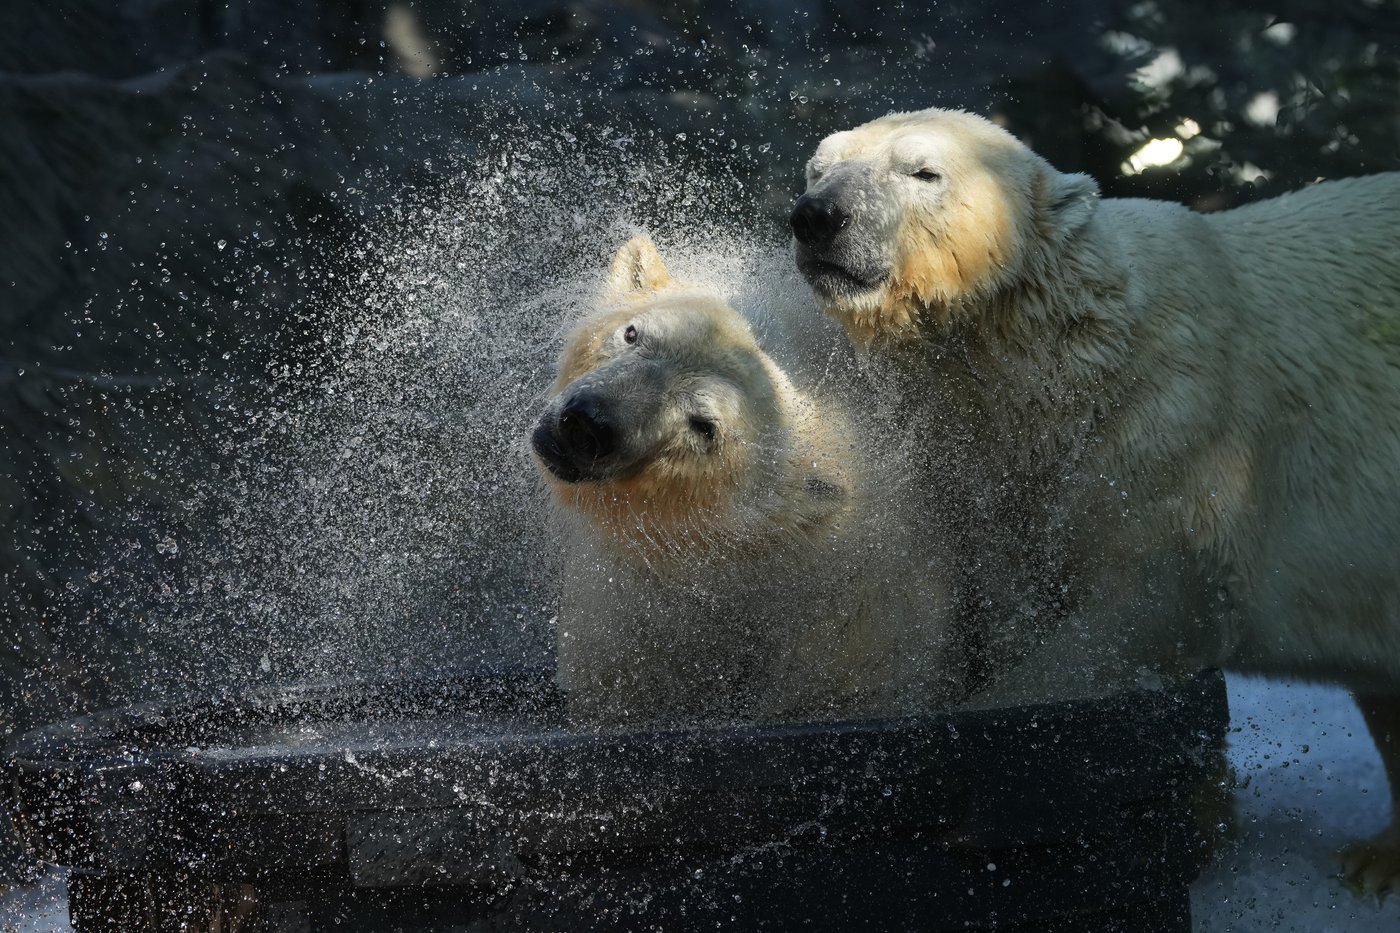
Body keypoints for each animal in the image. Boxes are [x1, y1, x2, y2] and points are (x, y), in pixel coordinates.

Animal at [789, 106, 1400, 897]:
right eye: (818, 167)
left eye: (923, 171)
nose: (817, 216)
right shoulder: (1005, 488)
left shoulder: (1169, 439)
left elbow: (1138, 613)